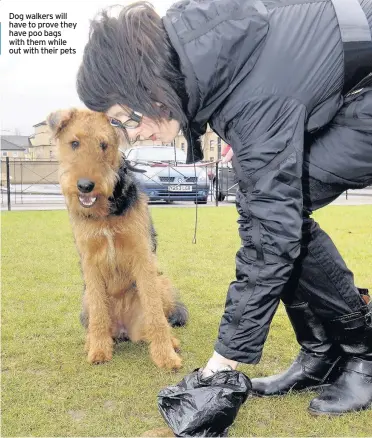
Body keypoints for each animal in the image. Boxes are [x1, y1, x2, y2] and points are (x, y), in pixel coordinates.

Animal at [47, 108, 187, 370]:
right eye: (74, 143)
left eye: (104, 144)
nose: (85, 186)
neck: (106, 214)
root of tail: (123, 329)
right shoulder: (90, 261)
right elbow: (98, 313)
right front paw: (99, 350)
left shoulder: (142, 254)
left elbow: (156, 315)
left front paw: (166, 356)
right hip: (85, 301)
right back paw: (92, 342)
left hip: (160, 281)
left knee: (160, 317)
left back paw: (172, 342)